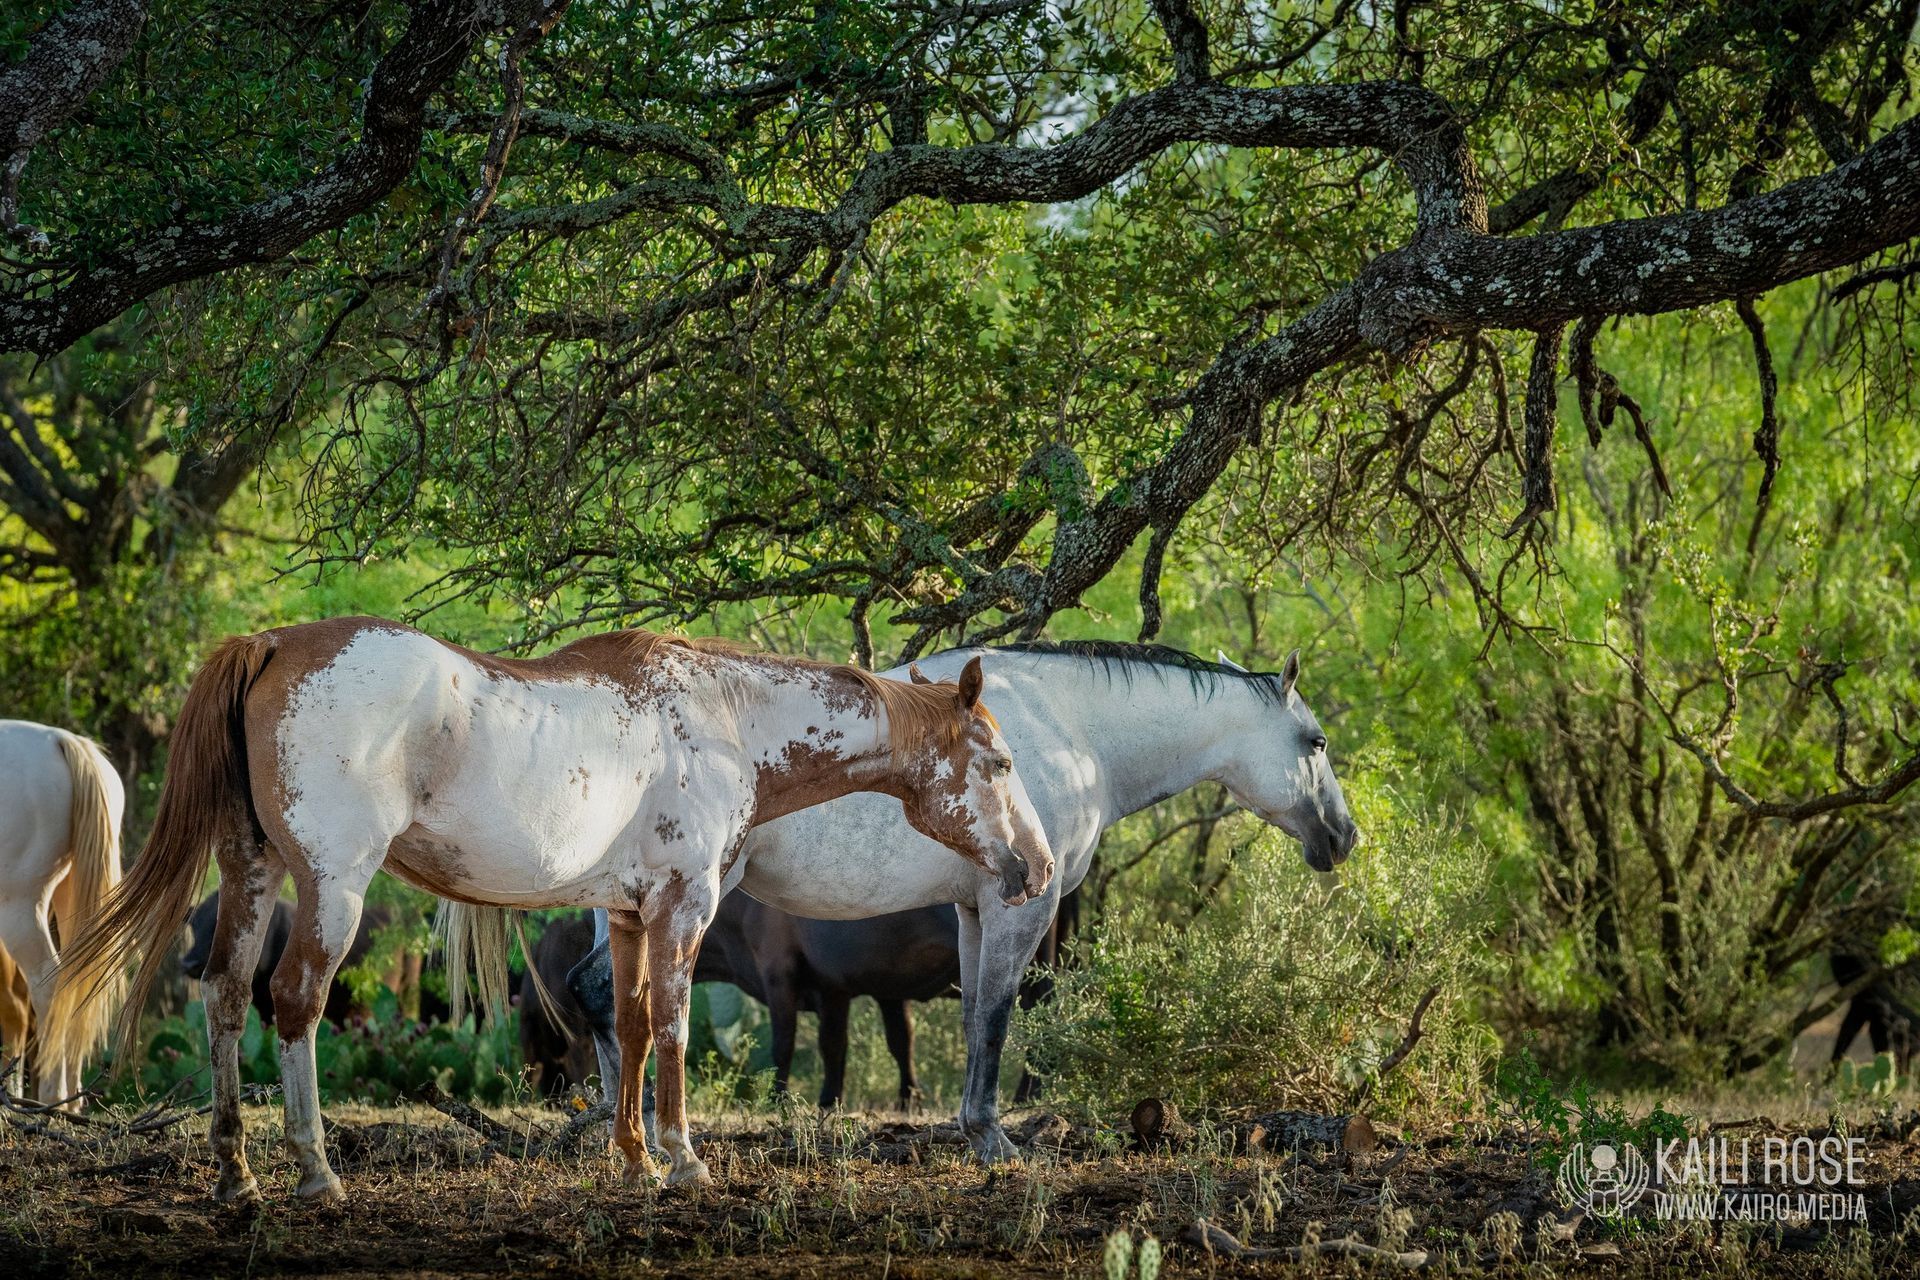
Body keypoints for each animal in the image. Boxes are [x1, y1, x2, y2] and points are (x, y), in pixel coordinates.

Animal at [53, 617, 1052, 1204]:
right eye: (999, 764)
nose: (1038, 869)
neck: (724, 720)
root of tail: (272, 646)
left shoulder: (630, 916)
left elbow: (635, 1027)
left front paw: (634, 1159)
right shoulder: (684, 907)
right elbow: (675, 1027)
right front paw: (684, 1157)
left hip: (253, 874)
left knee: (226, 996)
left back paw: (235, 1172)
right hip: (331, 889)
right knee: (293, 1003)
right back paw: (314, 1171)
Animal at [563, 640, 1358, 1162]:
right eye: (1316, 741)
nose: (1344, 836)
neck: (1070, 731)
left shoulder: (976, 910)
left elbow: (976, 1014)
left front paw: (974, 1130)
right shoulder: (1022, 908)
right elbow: (1000, 1017)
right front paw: (993, 1138)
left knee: (607, 996)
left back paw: (619, 1130)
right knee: (608, 993)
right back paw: (641, 1135)